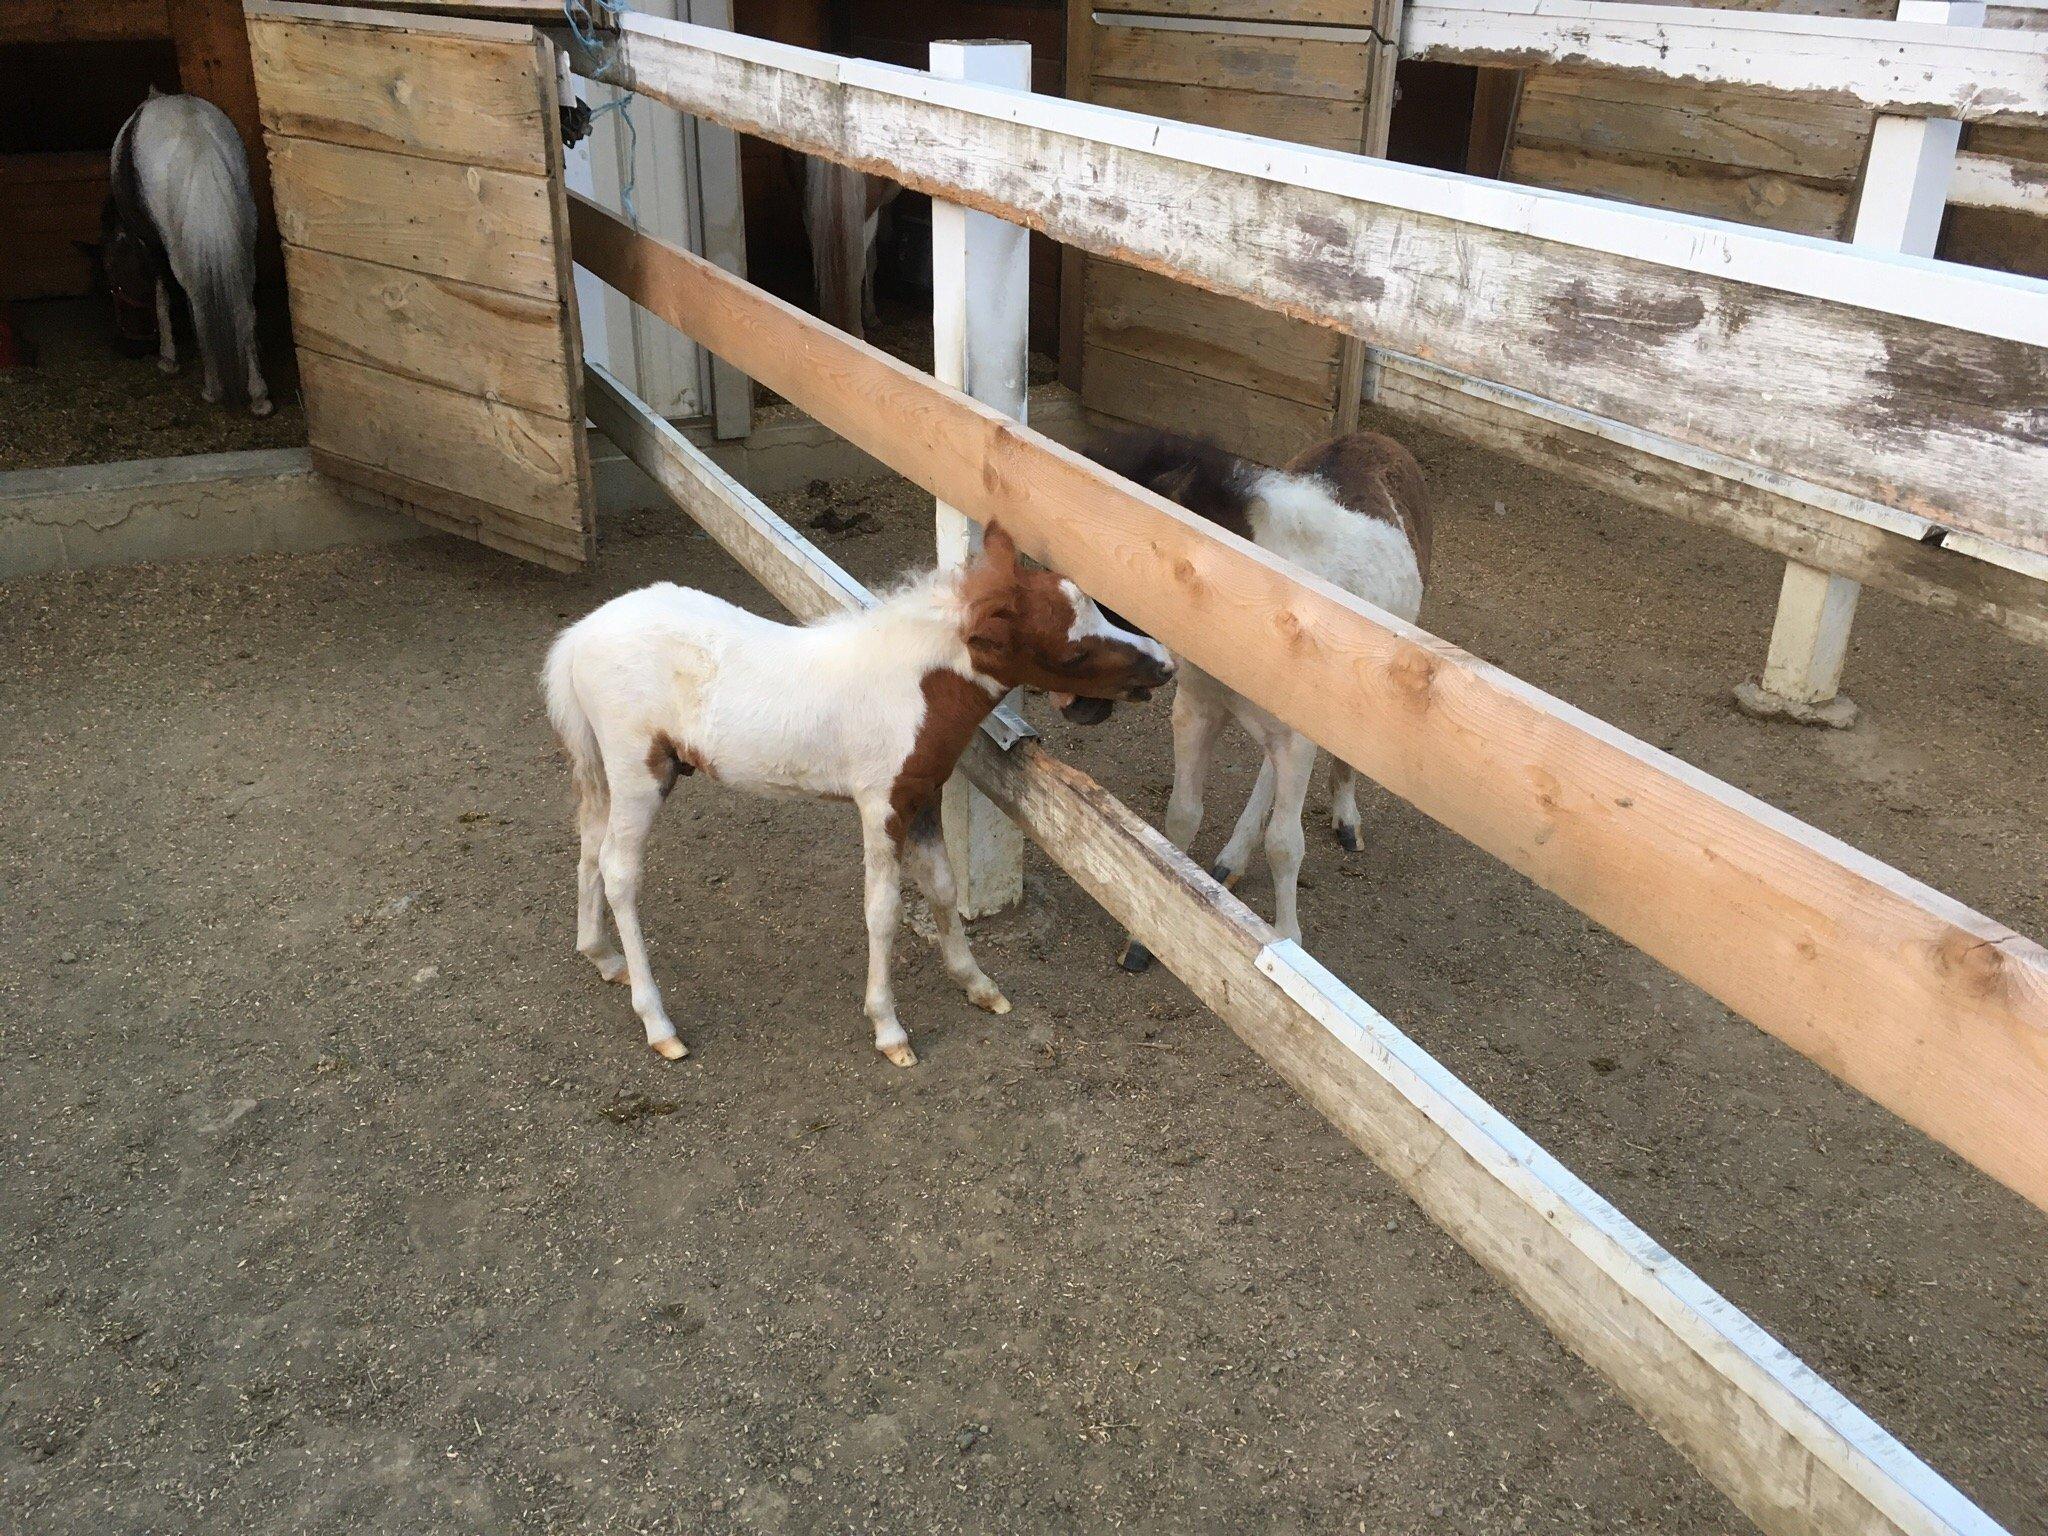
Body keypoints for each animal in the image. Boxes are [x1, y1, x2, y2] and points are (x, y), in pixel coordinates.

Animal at [544, 528, 1179, 1073]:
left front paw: (977, 984)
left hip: (609, 775)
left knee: (589, 847)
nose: (1165, 662)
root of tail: (579, 637)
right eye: (1071, 655)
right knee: (619, 872)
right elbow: (883, 910)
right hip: (639, 775)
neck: (914, 687)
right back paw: (658, 1022)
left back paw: (602, 958)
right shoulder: (882, 807)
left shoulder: (923, 797)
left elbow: (943, 887)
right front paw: (888, 1029)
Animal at [1081, 428, 1433, 966]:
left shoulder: (1300, 733)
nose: (1079, 705)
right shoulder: (1197, 711)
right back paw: (1231, 860)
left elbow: (1284, 845)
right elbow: (1181, 817)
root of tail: (1377, 438)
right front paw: (1145, 939)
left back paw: (1345, 820)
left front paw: (1286, 943)